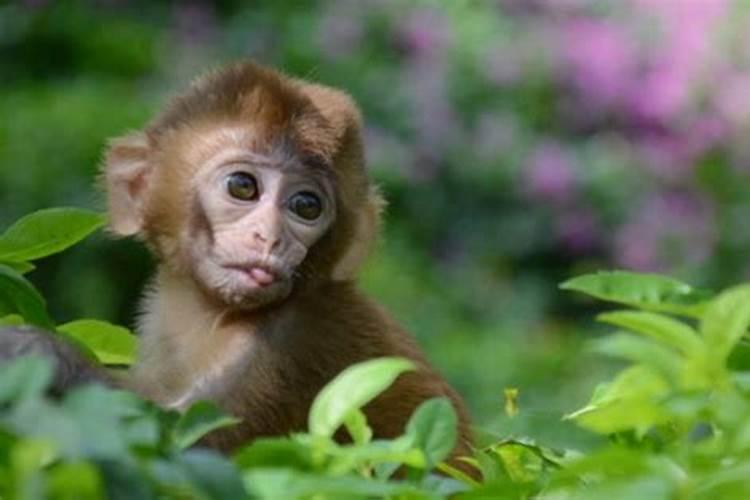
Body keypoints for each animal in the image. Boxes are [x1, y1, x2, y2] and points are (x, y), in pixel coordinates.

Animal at [4, 61, 476, 468]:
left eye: (306, 206)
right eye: (242, 186)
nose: (269, 235)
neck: (213, 314)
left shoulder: (290, 347)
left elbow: (178, 445)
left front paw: (42, 355)